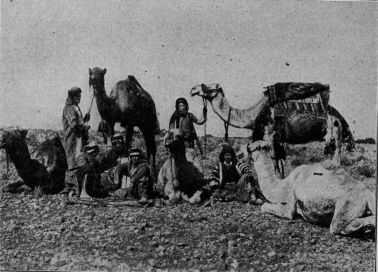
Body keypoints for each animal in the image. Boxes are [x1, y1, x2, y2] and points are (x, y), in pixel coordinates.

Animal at [244, 137, 376, 235]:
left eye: (250, 149)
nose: (246, 150)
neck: (280, 185)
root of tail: (367, 193)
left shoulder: (287, 205)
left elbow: (266, 207)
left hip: (348, 202)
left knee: (337, 226)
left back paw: (362, 228)